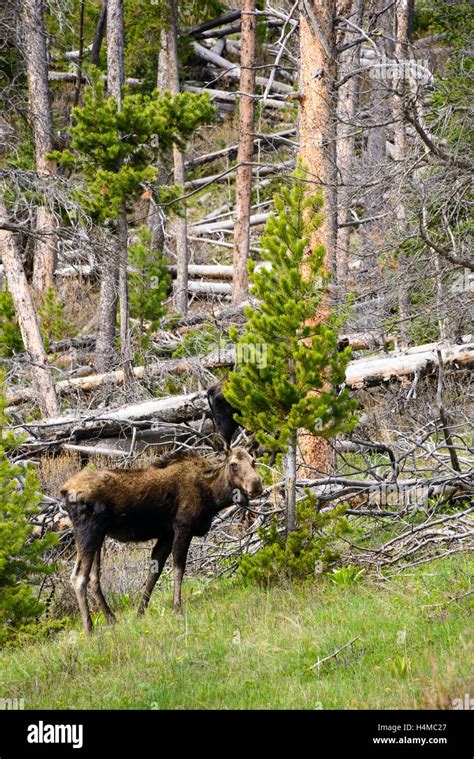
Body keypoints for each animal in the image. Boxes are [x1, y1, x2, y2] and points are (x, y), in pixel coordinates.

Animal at [61, 448, 262, 632]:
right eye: (233, 465)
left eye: (253, 461)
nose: (256, 484)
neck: (212, 496)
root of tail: (64, 491)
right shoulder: (183, 527)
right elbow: (178, 568)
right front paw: (177, 609)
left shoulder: (166, 534)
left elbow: (154, 572)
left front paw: (140, 612)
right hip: (88, 531)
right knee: (78, 577)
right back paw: (89, 628)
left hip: (98, 535)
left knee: (94, 577)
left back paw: (111, 619)